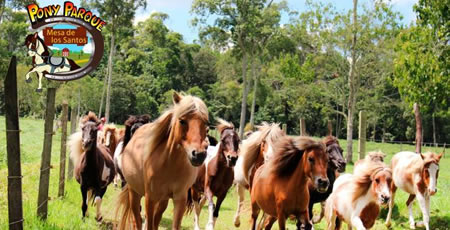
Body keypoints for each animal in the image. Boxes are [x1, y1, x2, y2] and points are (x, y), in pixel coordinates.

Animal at [115, 92, 208, 230]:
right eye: (182, 121)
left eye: (206, 124)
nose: (199, 155)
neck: (169, 164)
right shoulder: (150, 198)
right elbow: (147, 224)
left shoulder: (179, 198)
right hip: (134, 193)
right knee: (138, 219)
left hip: (163, 200)